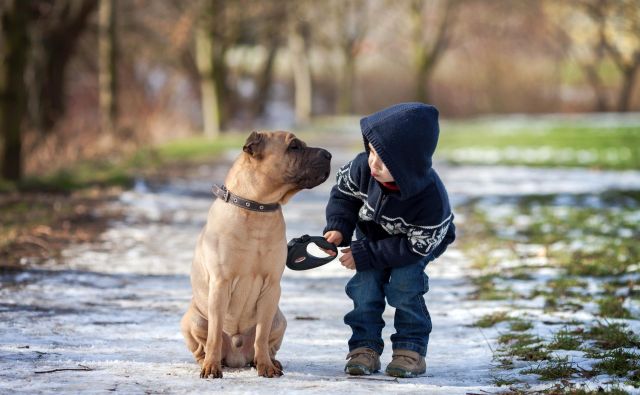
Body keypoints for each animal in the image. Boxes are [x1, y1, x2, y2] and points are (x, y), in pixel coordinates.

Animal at [180, 131, 330, 378]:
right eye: (294, 146)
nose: (328, 154)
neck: (257, 207)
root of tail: (236, 356)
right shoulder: (220, 283)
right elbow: (214, 335)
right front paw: (211, 367)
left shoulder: (271, 286)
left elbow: (261, 334)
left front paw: (265, 366)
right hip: (194, 320)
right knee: (204, 343)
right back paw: (209, 361)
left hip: (280, 319)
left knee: (267, 342)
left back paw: (270, 361)